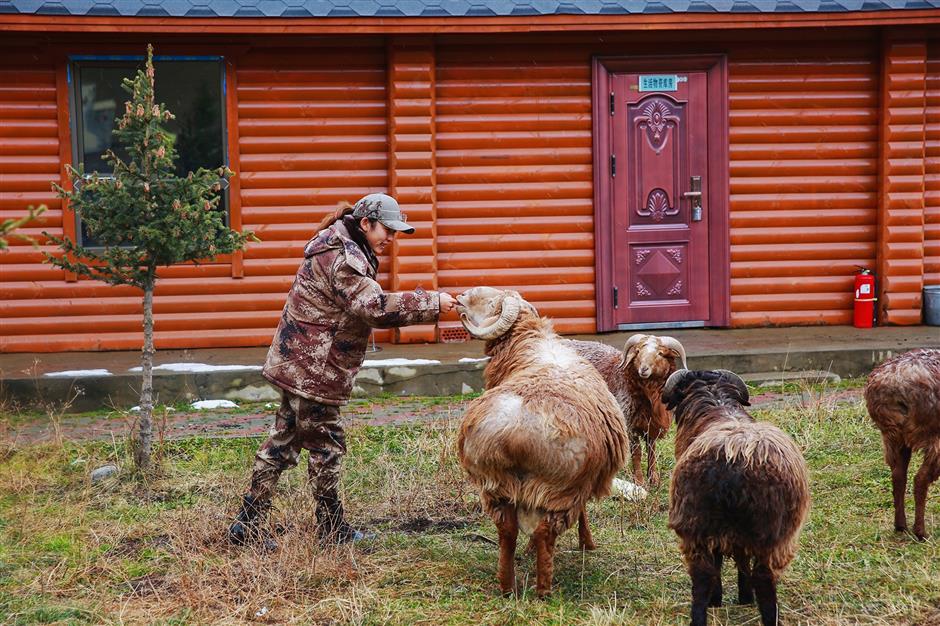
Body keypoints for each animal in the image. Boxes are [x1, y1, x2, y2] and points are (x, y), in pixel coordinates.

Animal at [560, 334, 688, 486]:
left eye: (660, 353)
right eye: (638, 351)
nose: (643, 369)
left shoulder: (651, 424)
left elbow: (652, 451)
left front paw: (654, 479)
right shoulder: (629, 423)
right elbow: (637, 453)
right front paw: (639, 481)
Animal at [660, 366, 808, 624]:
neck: (715, 402)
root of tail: (736, 462)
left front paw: (726, 599)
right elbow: (740, 561)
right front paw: (743, 597)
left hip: (698, 523)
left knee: (704, 576)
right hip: (769, 533)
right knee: (756, 577)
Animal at [868, 348, 940, 540]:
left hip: (894, 437)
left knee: (898, 475)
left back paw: (901, 526)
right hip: (931, 434)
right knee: (920, 479)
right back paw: (920, 532)